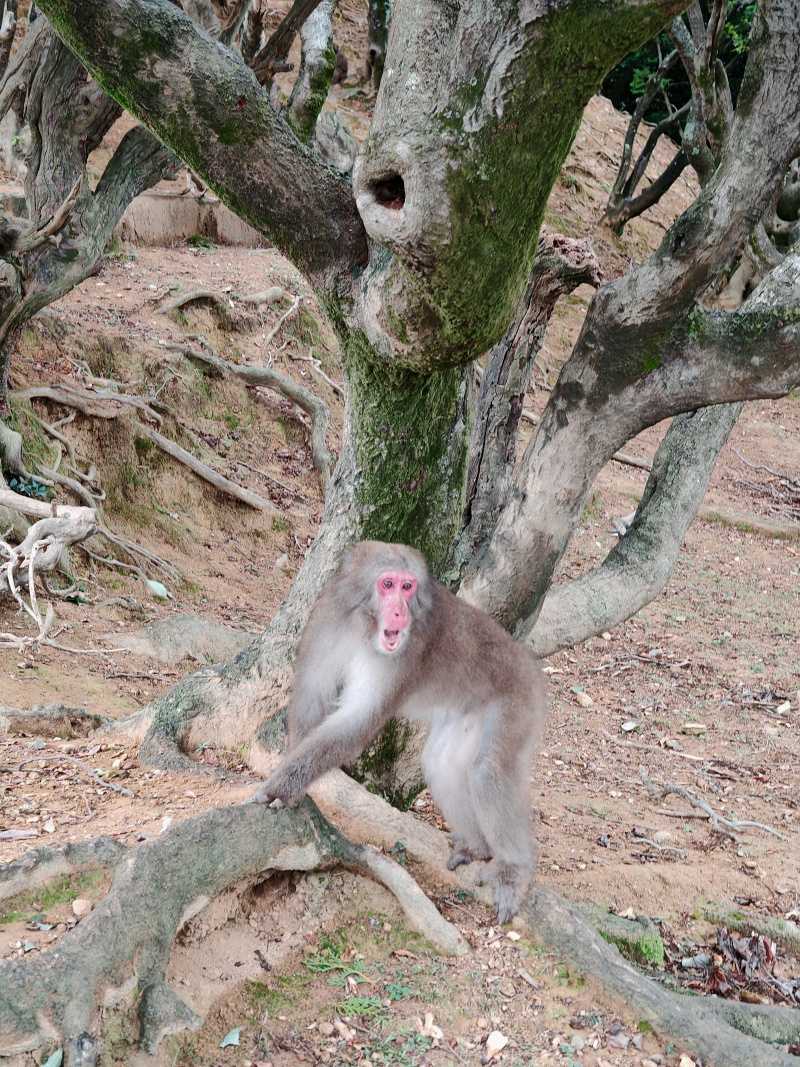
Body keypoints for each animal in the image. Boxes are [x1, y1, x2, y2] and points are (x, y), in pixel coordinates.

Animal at [253, 540, 546, 923]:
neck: (363, 625)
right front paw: (297, 787)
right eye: (388, 584)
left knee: (488, 771)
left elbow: (358, 722)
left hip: (518, 701)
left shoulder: (407, 654)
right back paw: (477, 846)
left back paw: (515, 870)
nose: (399, 613)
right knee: (441, 762)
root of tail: (530, 667)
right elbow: (312, 697)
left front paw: (280, 787)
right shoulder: (327, 617)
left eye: (408, 587)